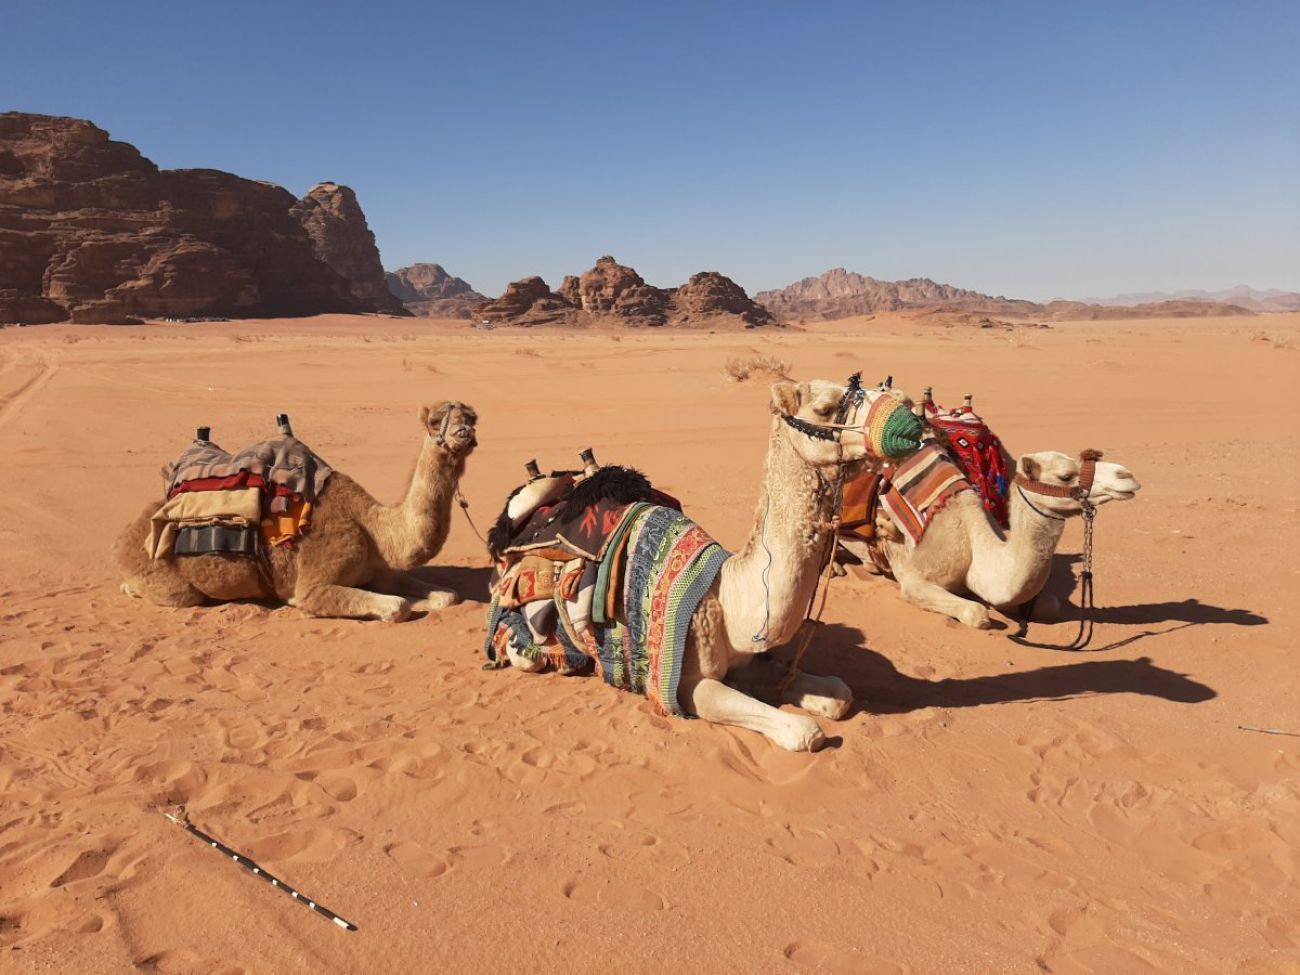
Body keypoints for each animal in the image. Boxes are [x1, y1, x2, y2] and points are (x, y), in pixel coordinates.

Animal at [114, 401, 478, 621]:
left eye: (473, 418)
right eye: (435, 421)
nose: (465, 433)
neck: (372, 528)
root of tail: (122, 537)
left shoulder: (379, 569)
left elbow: (448, 596)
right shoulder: (315, 585)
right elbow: (397, 607)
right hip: (171, 584)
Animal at [505, 378, 904, 751]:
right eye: (825, 409)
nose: (903, 405)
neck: (726, 599)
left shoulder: (748, 659)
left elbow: (838, 695)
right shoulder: (690, 685)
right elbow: (805, 732)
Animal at [839, 448, 1140, 628]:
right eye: (1066, 476)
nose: (1127, 475)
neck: (974, 544)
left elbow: (1050, 607)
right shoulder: (915, 580)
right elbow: (977, 614)